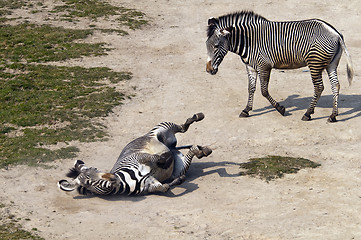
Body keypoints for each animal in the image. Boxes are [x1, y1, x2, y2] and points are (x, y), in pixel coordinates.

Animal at [57, 113, 211, 195]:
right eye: (89, 182)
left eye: (96, 169)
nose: (112, 177)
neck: (124, 181)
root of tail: (172, 146)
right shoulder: (149, 185)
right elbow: (165, 187)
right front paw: (178, 181)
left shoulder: (136, 158)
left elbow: (153, 157)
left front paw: (163, 159)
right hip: (179, 166)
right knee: (191, 150)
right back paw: (202, 150)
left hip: (162, 128)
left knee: (182, 127)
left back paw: (198, 117)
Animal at [205, 10, 352, 122]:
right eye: (206, 45)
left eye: (216, 46)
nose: (208, 70)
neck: (248, 41)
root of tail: (335, 33)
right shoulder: (251, 67)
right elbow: (250, 89)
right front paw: (246, 110)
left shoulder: (264, 66)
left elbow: (264, 91)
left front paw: (280, 109)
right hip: (331, 64)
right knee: (335, 85)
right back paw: (333, 115)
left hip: (315, 63)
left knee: (319, 87)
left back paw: (308, 113)